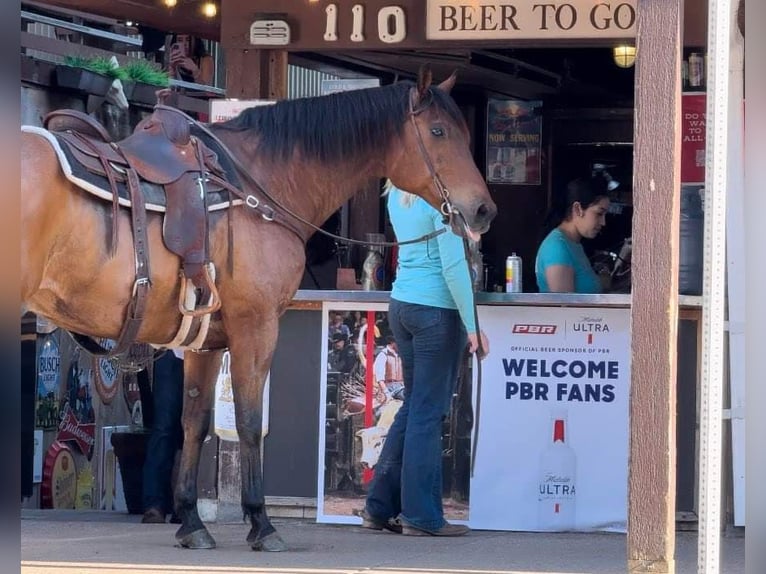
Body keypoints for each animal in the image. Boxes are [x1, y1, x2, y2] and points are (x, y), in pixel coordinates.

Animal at [20, 68, 496, 551]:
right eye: (437, 132)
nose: (482, 209)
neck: (258, 186)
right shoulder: (257, 327)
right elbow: (249, 421)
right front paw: (261, 523)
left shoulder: (205, 343)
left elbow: (195, 424)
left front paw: (191, 522)